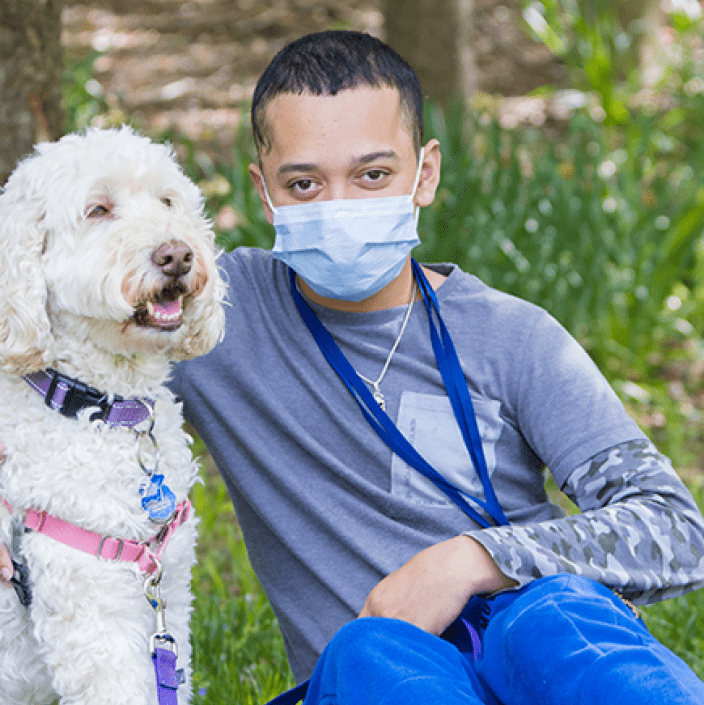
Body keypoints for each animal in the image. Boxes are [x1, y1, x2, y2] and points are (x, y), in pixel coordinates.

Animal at [0, 128, 226, 704]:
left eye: (168, 202)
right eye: (98, 210)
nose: (177, 254)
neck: (104, 408)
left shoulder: (168, 594)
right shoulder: (95, 616)